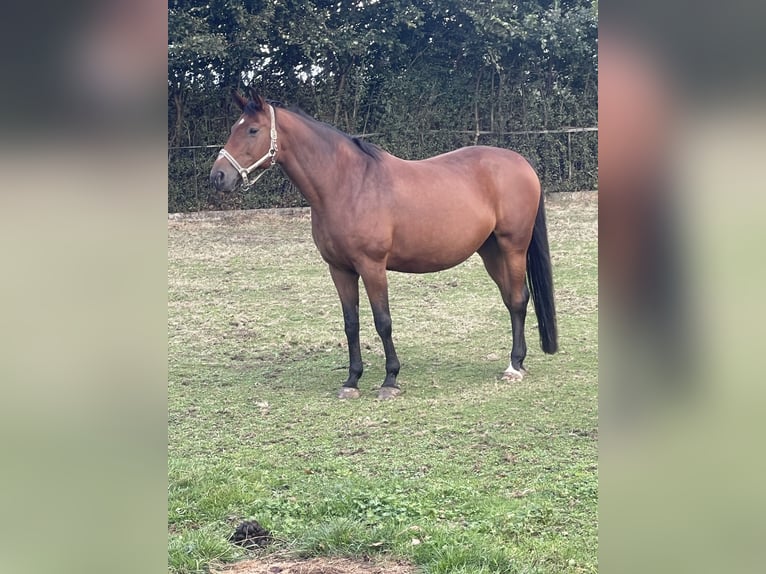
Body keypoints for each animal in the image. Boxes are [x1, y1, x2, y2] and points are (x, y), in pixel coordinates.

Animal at [210, 89, 560, 400]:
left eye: (253, 130)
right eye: (233, 129)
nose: (218, 176)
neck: (348, 184)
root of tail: (521, 164)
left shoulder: (372, 266)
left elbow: (383, 321)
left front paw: (390, 380)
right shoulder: (339, 269)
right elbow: (351, 324)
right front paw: (352, 381)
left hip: (513, 247)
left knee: (519, 299)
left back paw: (514, 366)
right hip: (490, 251)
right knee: (511, 300)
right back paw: (519, 362)